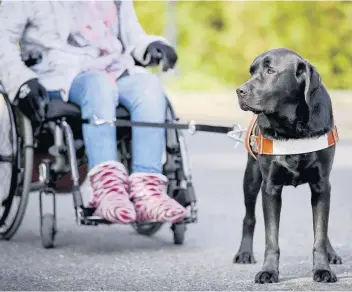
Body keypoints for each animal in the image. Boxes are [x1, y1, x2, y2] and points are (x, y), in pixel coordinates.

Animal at [234, 49, 340, 284]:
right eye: (251, 71)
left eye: (270, 71)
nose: (239, 91)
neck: (292, 129)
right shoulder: (270, 187)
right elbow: (271, 239)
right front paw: (268, 271)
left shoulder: (322, 184)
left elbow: (320, 232)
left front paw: (323, 269)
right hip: (251, 178)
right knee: (248, 217)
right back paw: (244, 253)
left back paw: (332, 252)